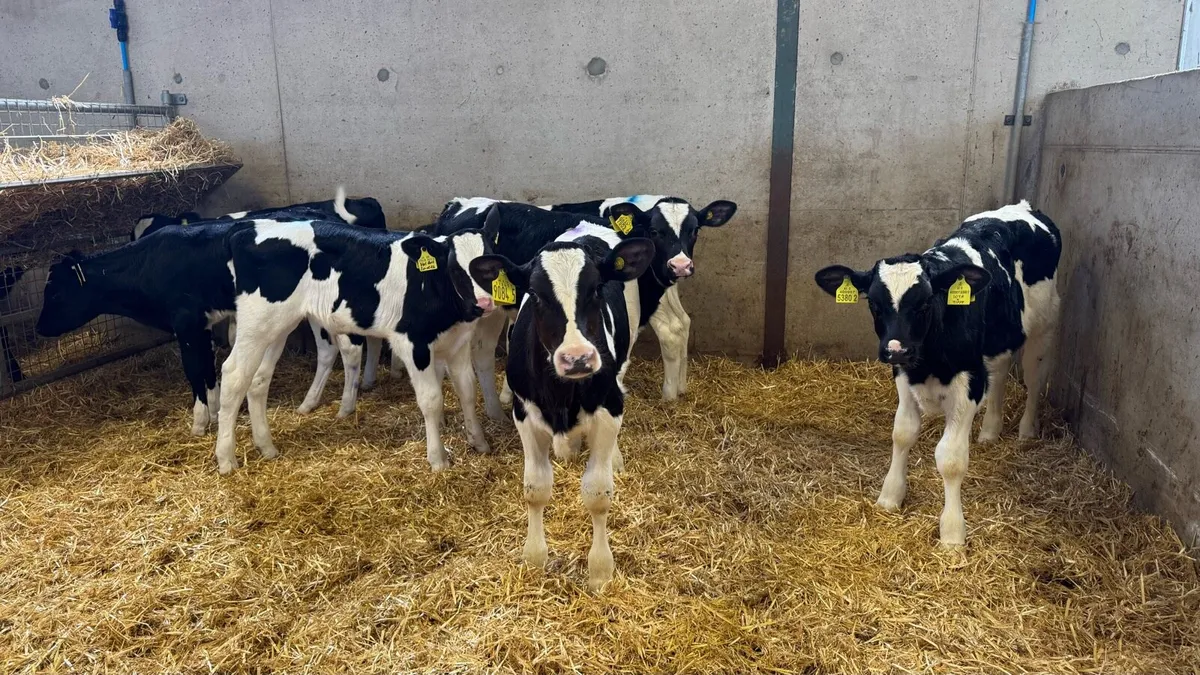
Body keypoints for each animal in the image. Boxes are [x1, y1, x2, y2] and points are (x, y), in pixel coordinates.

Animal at [214, 218, 496, 475]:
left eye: (491, 269)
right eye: (456, 269)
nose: (484, 304)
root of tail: (247, 229)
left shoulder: (458, 342)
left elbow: (468, 391)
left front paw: (479, 442)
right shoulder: (412, 343)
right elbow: (431, 400)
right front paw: (438, 459)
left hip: (277, 326)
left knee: (258, 379)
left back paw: (266, 447)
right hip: (256, 323)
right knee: (234, 375)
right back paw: (226, 459)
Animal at [468, 221, 656, 590]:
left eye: (597, 289)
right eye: (536, 294)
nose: (577, 358)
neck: (562, 395)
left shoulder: (609, 408)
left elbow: (598, 494)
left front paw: (600, 570)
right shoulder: (525, 414)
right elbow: (535, 489)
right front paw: (534, 557)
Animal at [813, 200, 1061, 546]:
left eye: (926, 302)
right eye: (874, 303)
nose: (896, 349)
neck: (928, 362)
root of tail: (1023, 206)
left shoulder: (968, 383)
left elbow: (951, 458)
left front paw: (953, 532)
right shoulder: (904, 374)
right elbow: (902, 432)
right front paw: (890, 496)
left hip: (1045, 325)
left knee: (1035, 377)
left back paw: (1026, 431)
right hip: (998, 340)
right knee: (999, 372)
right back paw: (990, 431)